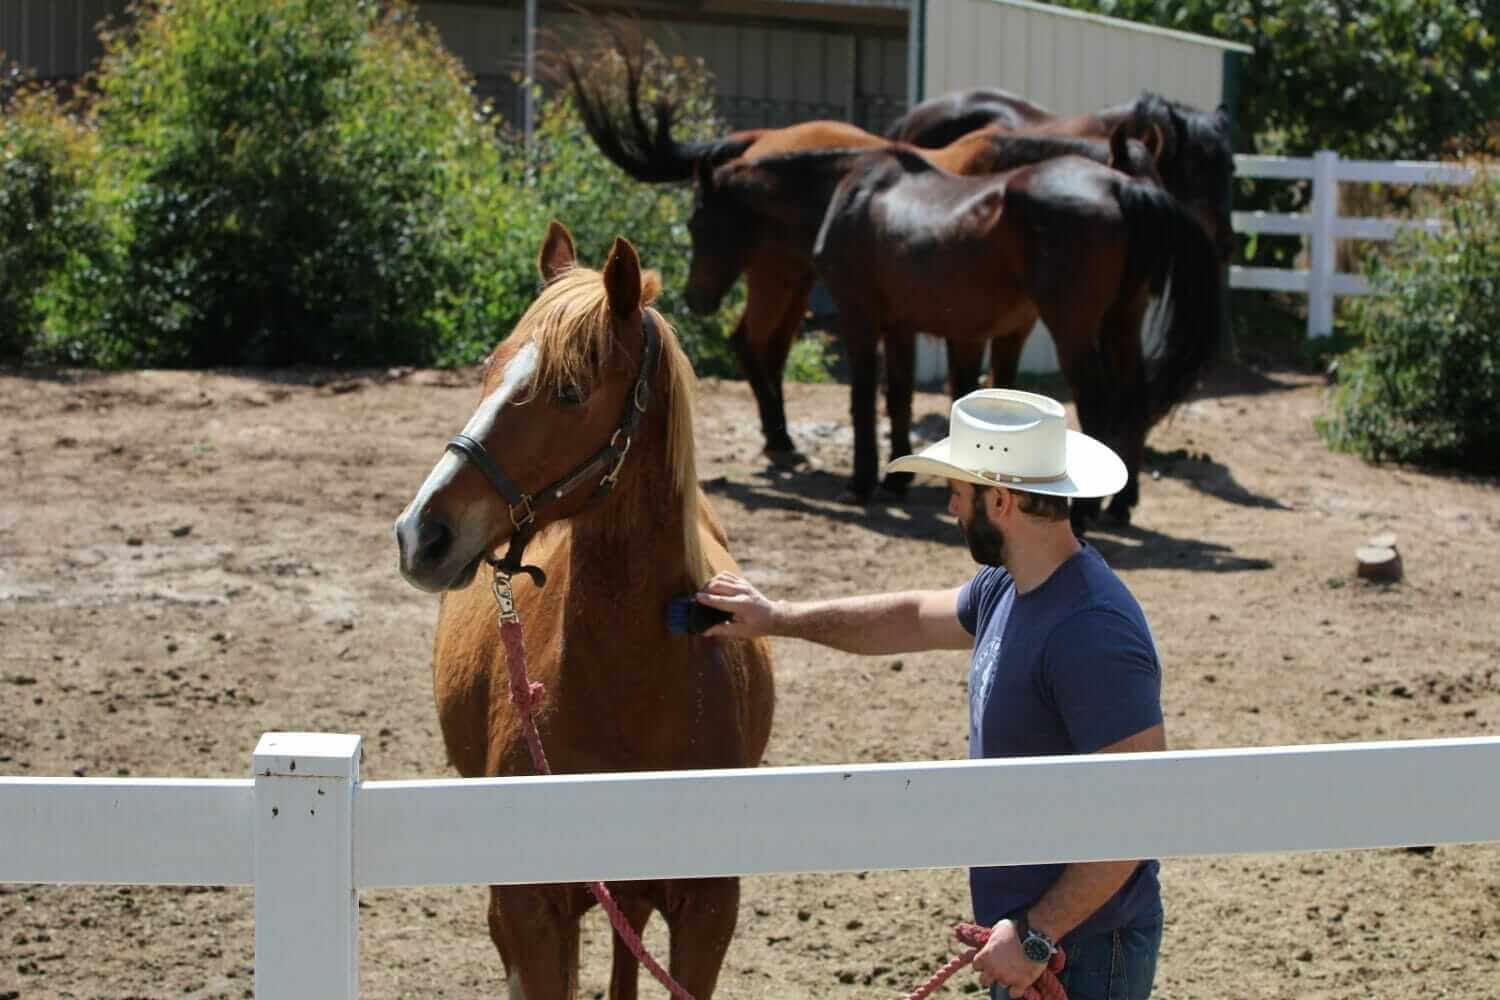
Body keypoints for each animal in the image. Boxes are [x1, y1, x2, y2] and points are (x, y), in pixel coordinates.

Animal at [393, 223, 774, 995]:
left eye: (570, 390)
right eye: (490, 368)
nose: (422, 532)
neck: (632, 689)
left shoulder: (707, 911)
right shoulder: (530, 911)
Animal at [816, 150, 1224, 524]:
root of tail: (1119, 185)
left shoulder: (859, 317)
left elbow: (863, 399)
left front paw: (861, 483)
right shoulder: (902, 325)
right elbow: (900, 397)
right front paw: (895, 480)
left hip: (1072, 329)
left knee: (1096, 404)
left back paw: (1083, 514)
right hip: (1123, 320)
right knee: (1135, 401)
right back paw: (1120, 505)